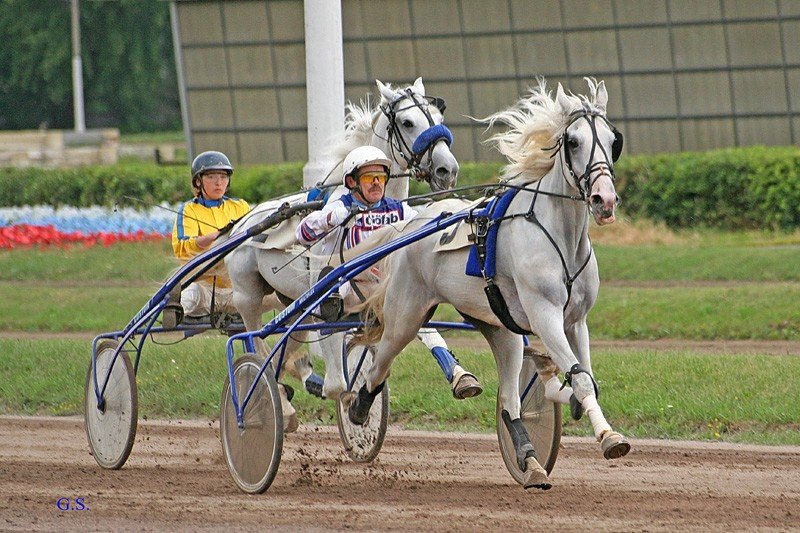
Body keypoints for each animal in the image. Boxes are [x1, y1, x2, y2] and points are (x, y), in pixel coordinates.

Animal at [223, 78, 462, 408]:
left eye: (439, 119)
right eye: (407, 122)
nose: (446, 170)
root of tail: (245, 220)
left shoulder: (395, 285)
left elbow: (424, 330)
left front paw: (462, 378)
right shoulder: (328, 296)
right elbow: (337, 378)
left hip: (292, 301)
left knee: (286, 345)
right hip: (248, 296)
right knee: (256, 343)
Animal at [348, 77, 632, 488]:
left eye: (613, 140)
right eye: (573, 141)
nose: (603, 198)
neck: (558, 233)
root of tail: (413, 222)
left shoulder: (575, 321)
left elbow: (584, 379)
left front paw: (571, 400)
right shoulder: (545, 314)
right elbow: (579, 379)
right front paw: (609, 437)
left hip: (500, 328)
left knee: (511, 401)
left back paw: (530, 460)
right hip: (406, 314)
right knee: (378, 364)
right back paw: (357, 408)